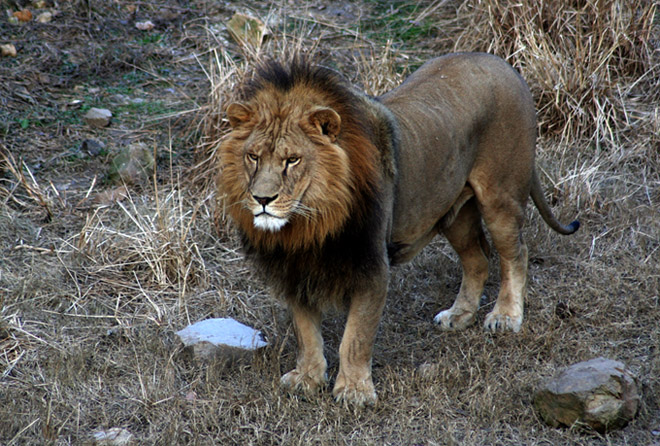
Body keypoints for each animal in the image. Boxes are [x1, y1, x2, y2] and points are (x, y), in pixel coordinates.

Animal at [217, 53, 576, 408]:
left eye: (292, 160)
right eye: (253, 156)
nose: (262, 199)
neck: (310, 225)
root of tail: (505, 65)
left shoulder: (371, 267)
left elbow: (355, 337)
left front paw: (355, 392)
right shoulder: (294, 272)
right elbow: (306, 333)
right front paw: (307, 379)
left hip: (500, 197)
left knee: (515, 253)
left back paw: (506, 316)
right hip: (453, 213)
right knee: (478, 259)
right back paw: (459, 315)